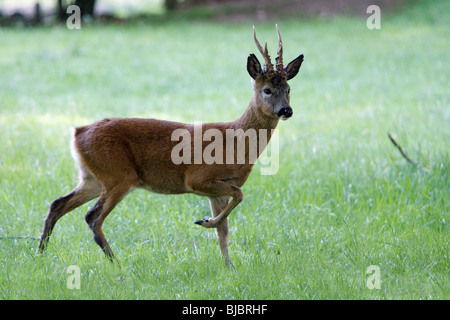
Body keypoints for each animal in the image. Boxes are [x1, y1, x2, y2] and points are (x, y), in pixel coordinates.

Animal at [38, 25, 304, 266]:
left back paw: (41, 253)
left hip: (92, 177)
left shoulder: (218, 189)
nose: (286, 110)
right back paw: (116, 263)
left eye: (289, 89)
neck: (235, 143)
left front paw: (229, 267)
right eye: (267, 90)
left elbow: (224, 231)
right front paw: (204, 222)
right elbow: (238, 197)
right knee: (92, 217)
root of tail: (77, 133)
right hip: (119, 175)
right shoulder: (199, 178)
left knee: (57, 204)